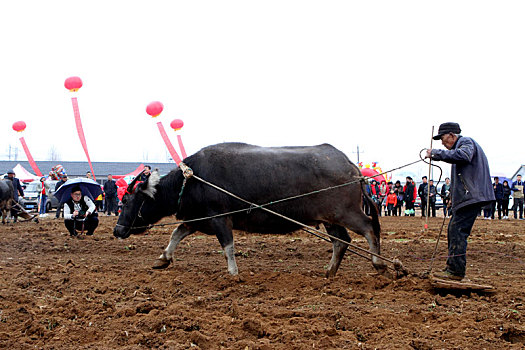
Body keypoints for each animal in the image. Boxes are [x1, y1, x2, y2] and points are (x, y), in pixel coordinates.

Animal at [113, 142, 384, 276]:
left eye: (125, 201)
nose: (117, 231)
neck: (192, 180)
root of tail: (351, 166)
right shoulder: (198, 219)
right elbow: (176, 233)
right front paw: (162, 259)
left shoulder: (220, 219)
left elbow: (227, 247)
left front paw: (234, 273)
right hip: (330, 218)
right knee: (341, 241)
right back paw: (329, 271)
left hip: (345, 212)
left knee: (369, 228)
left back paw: (380, 264)